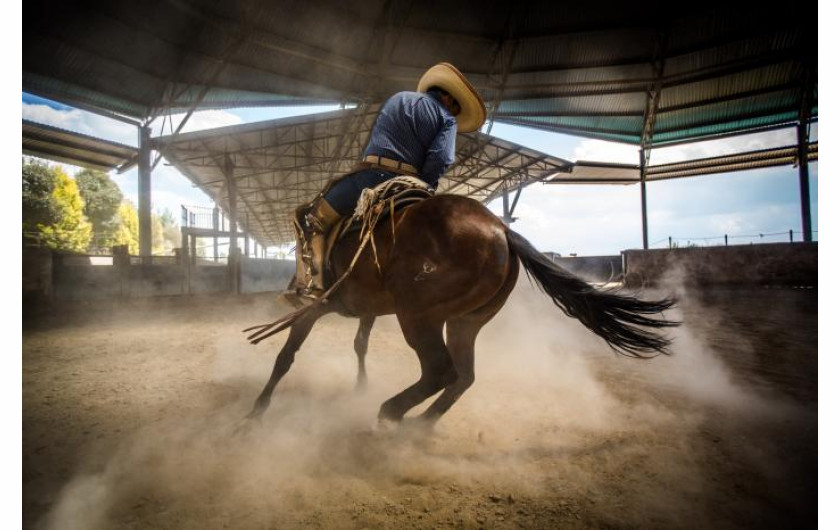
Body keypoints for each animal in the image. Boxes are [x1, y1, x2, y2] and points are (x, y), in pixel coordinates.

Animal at [241, 195, 676, 424]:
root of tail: (502, 231)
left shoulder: (315, 307)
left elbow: (286, 355)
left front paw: (258, 408)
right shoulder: (366, 310)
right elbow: (359, 344)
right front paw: (359, 385)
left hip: (419, 318)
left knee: (441, 371)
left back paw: (391, 413)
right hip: (465, 321)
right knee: (463, 376)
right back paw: (417, 425)